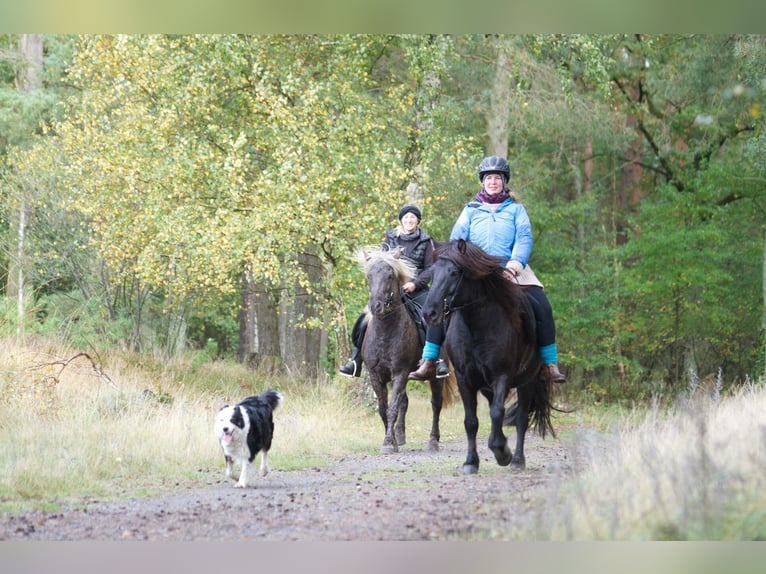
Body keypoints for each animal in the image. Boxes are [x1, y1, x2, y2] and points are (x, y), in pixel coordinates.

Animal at [358, 248, 460, 454]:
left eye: (390, 275)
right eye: (369, 275)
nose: (376, 306)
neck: (385, 330)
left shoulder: (400, 372)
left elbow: (392, 408)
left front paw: (388, 443)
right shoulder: (376, 375)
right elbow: (384, 408)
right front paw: (392, 440)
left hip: (433, 376)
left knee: (436, 405)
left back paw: (433, 441)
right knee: (404, 402)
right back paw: (400, 435)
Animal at [424, 241, 556, 474]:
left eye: (455, 272)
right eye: (432, 273)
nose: (429, 313)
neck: (476, 325)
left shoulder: (502, 376)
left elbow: (497, 413)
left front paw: (502, 452)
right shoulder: (464, 378)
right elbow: (471, 421)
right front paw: (470, 462)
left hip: (528, 381)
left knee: (521, 419)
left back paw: (517, 461)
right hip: (487, 387)